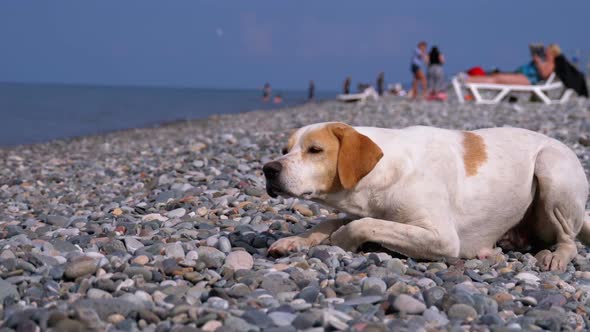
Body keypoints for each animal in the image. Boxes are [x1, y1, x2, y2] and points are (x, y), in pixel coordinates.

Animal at [264, 123, 590, 272]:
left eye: (315, 150)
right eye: (284, 150)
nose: (268, 169)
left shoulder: (441, 238)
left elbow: (361, 225)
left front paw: (342, 240)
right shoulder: (359, 208)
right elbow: (328, 223)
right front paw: (293, 240)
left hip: (550, 168)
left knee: (568, 239)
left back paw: (555, 255)